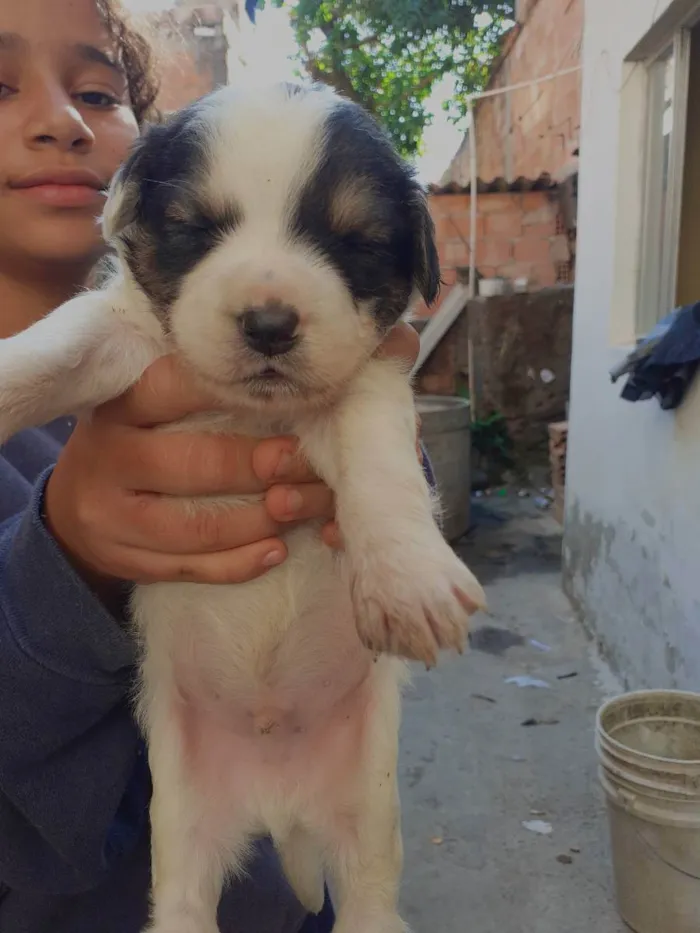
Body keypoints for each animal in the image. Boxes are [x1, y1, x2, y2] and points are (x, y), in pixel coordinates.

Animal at [0, 82, 486, 932]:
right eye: (196, 228)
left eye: (353, 241)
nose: (269, 323)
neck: (253, 415)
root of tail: (275, 805)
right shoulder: (119, 334)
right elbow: (53, 347)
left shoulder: (367, 380)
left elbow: (379, 461)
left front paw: (407, 578)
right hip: (184, 824)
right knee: (184, 901)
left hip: (366, 820)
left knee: (368, 895)